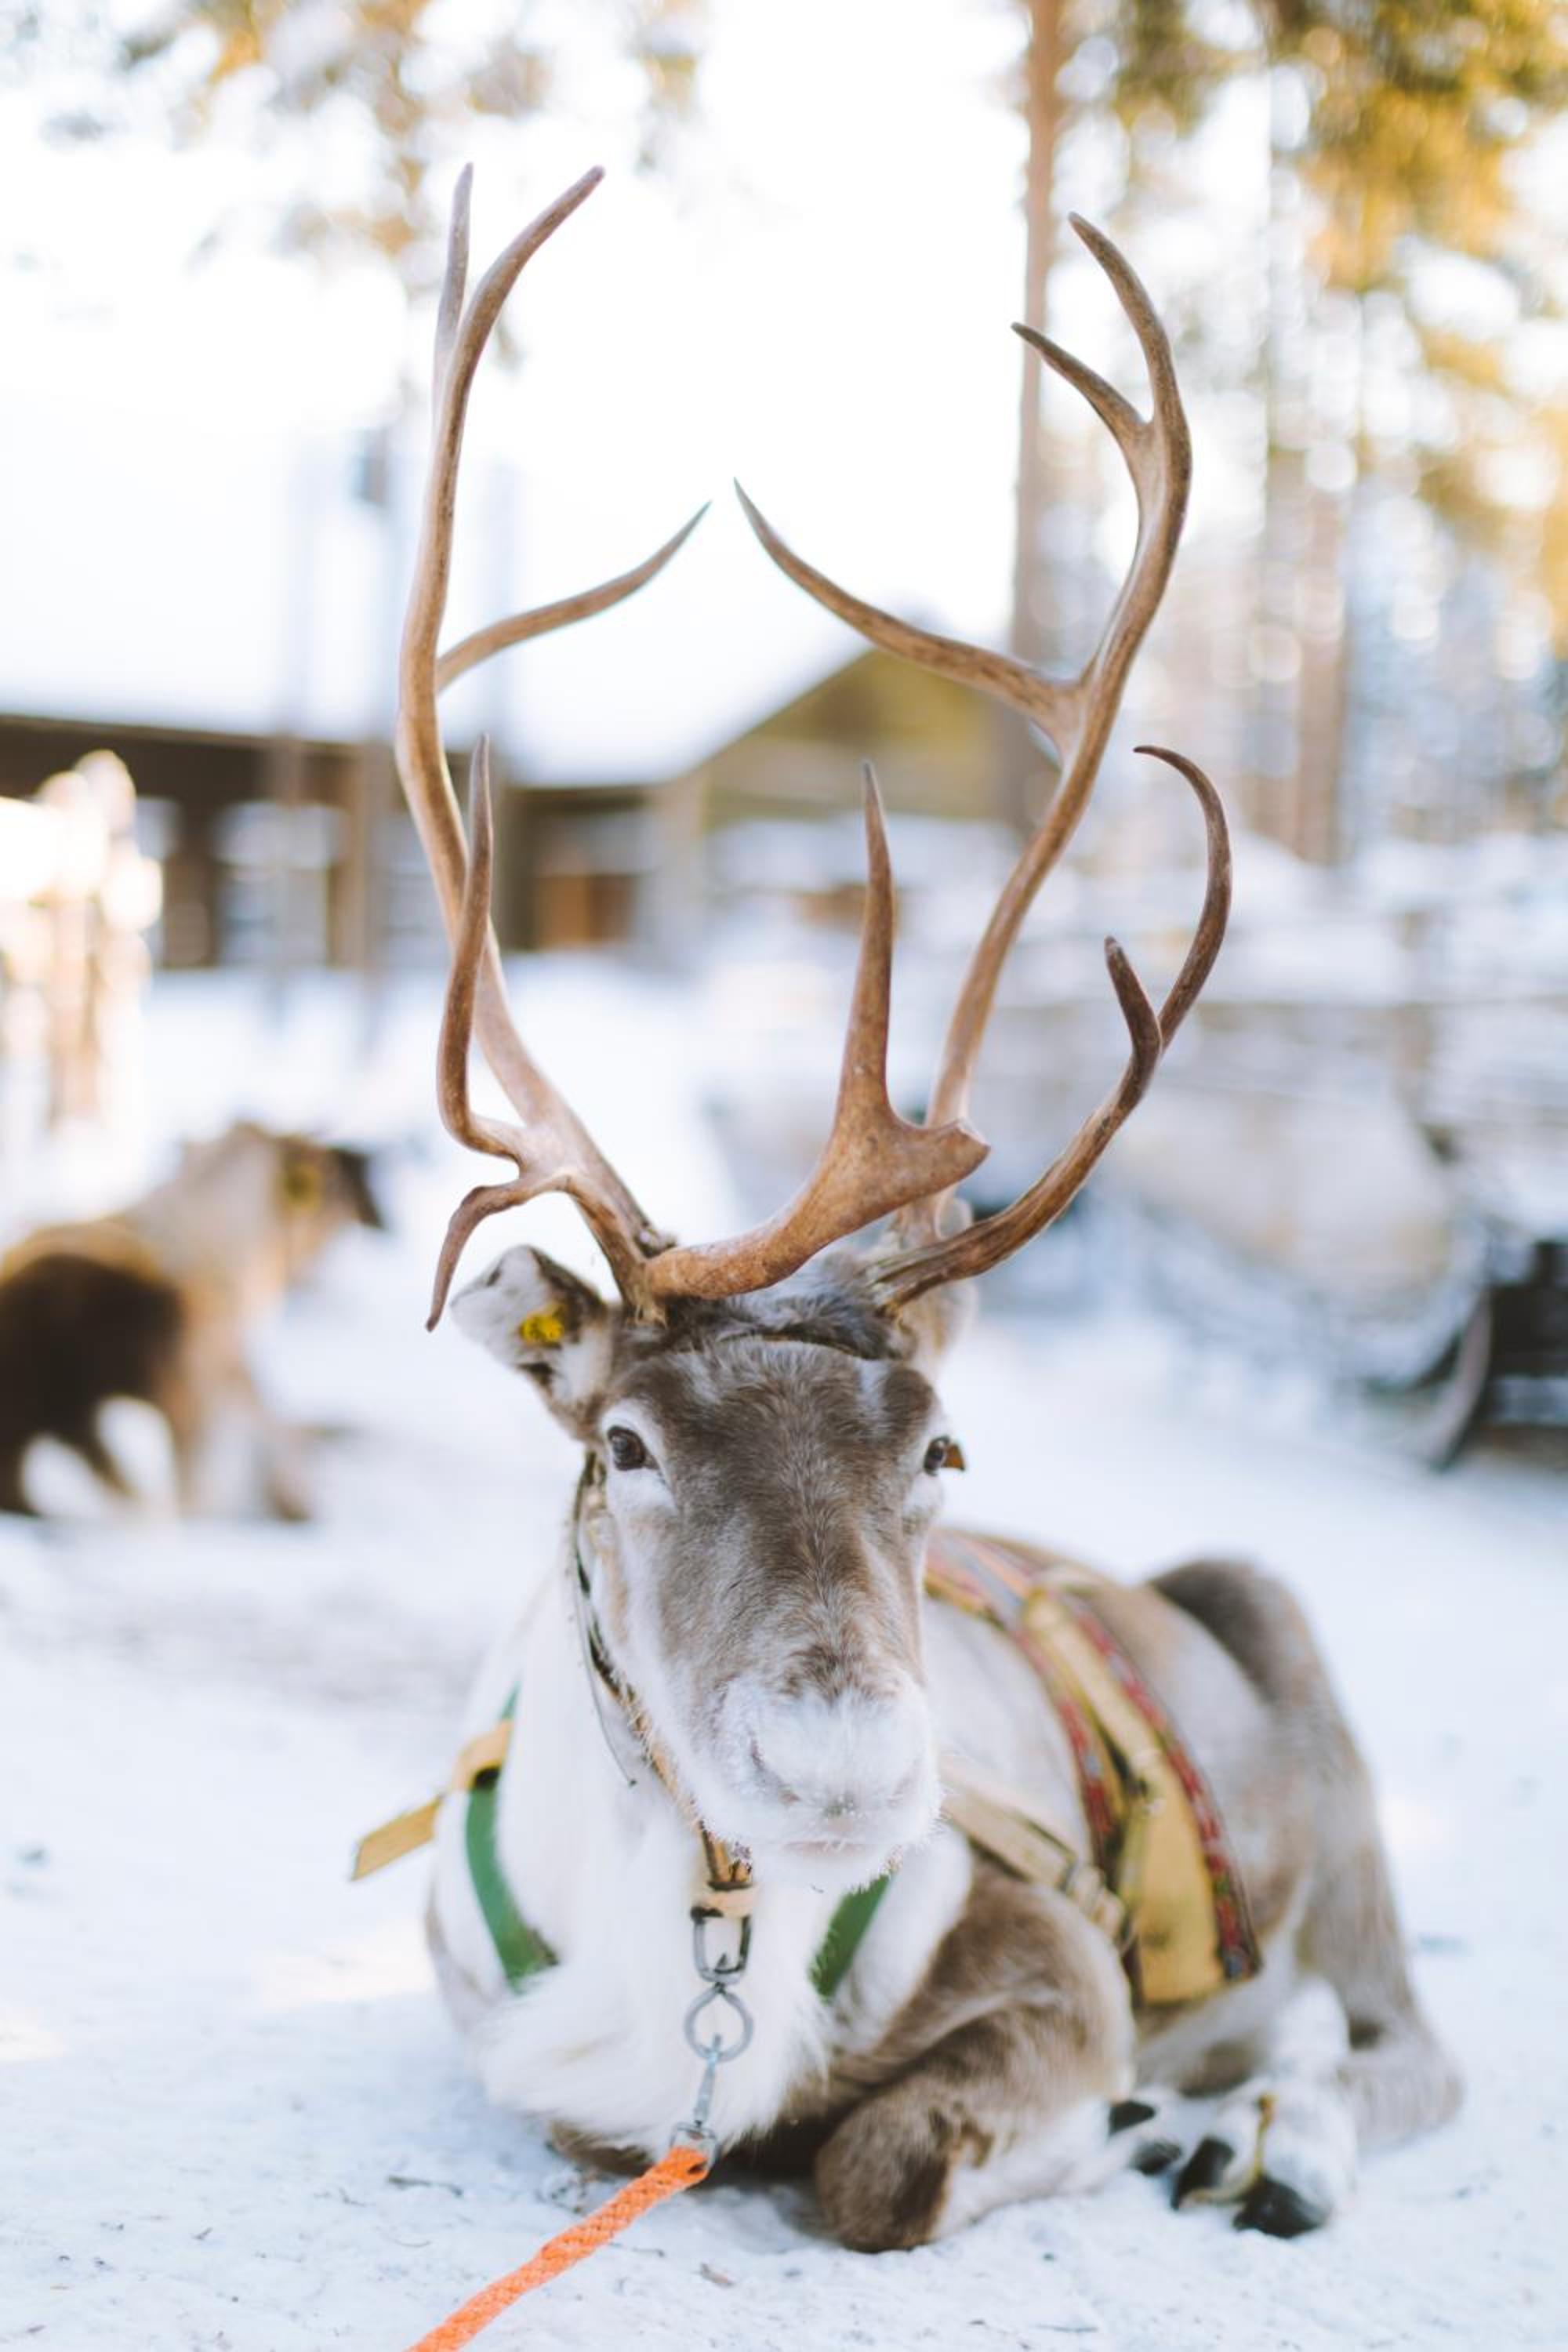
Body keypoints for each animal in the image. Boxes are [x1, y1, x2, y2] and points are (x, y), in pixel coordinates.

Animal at [382, 167, 1460, 2253]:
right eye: (624, 1444)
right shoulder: (517, 2046)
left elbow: (882, 2156)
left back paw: (1256, 2136)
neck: (706, 1940)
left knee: (1398, 2042)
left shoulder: (1063, 1959)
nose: (845, 1767)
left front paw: (1108, 2122)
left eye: (942, 1447)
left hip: (1311, 1706)